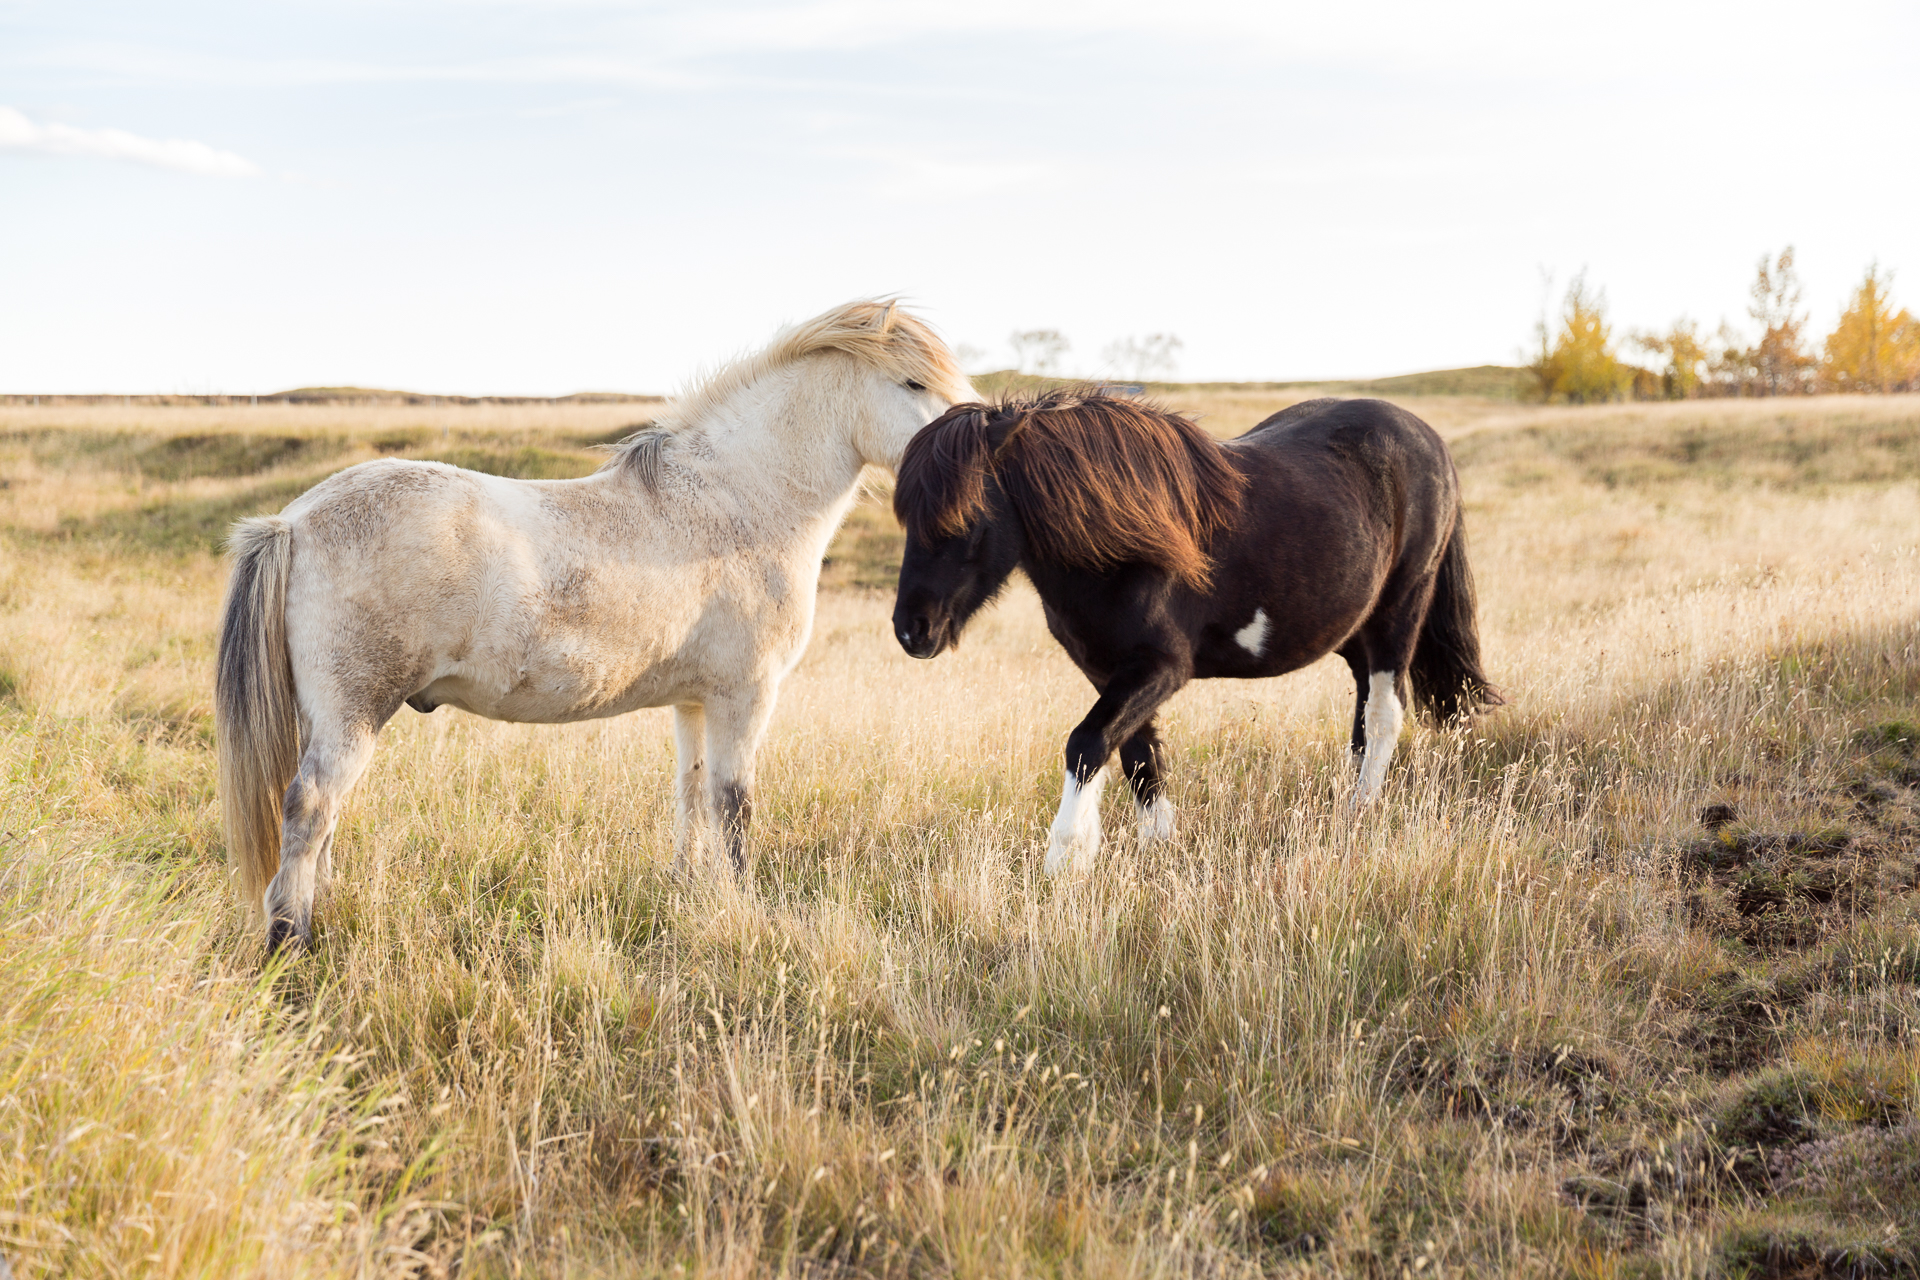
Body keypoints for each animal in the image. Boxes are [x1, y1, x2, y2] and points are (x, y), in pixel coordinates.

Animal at [219, 295, 975, 948]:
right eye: (912, 382)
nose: (971, 463)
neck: (740, 498)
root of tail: (293, 521)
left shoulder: (695, 703)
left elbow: (691, 794)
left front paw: (687, 891)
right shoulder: (745, 697)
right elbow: (733, 805)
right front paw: (742, 904)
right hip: (352, 716)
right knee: (310, 808)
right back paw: (292, 940)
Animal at [883, 385, 1497, 875]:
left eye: (965, 518)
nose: (912, 631)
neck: (1125, 550)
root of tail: (1428, 439)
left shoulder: (1162, 667)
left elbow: (1086, 744)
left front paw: (1064, 860)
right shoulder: (1106, 670)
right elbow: (1136, 755)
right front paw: (1155, 849)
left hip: (1401, 608)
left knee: (1385, 711)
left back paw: (1358, 812)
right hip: (1352, 629)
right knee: (1363, 711)